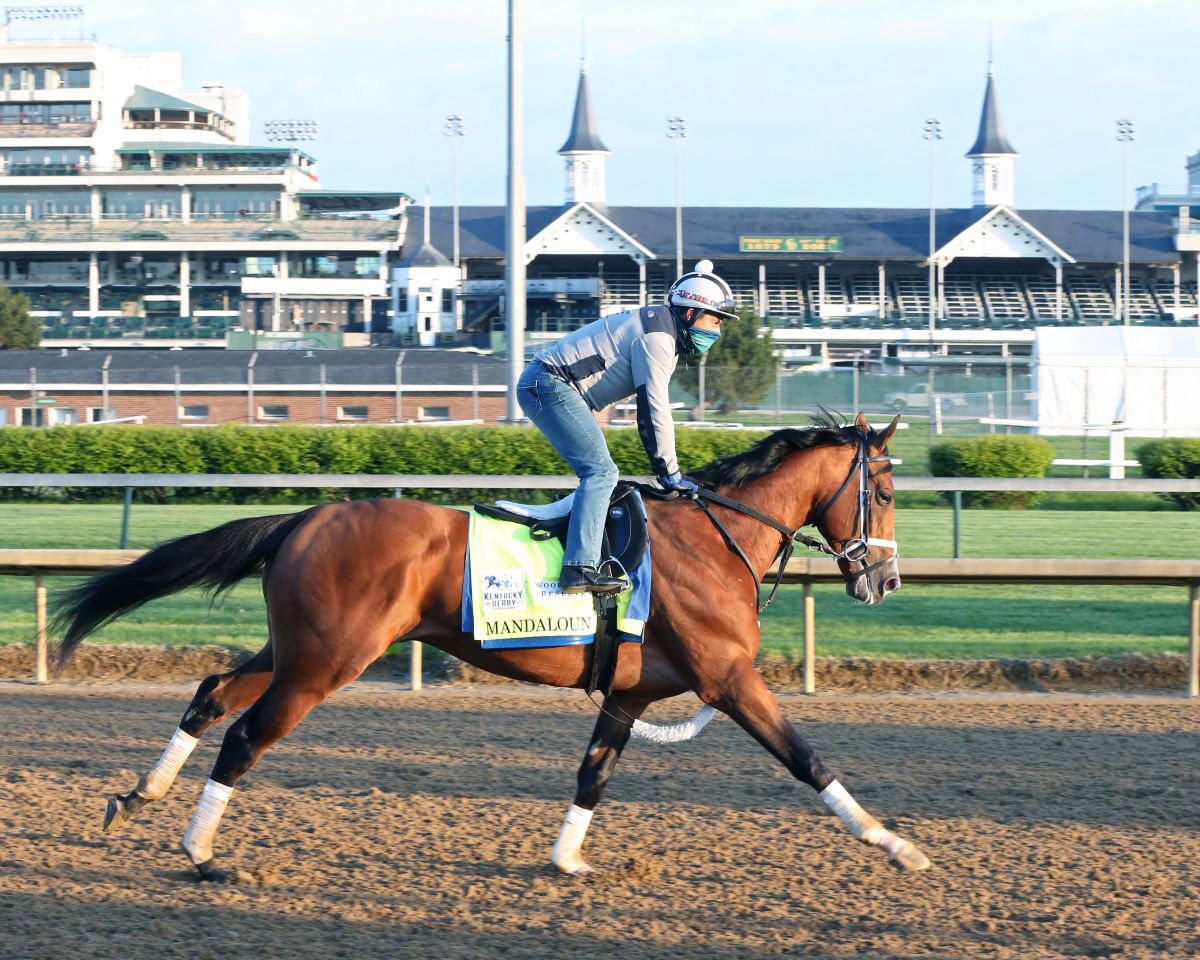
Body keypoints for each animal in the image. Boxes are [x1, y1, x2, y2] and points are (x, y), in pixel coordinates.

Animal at [54, 408, 936, 883]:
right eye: (887, 490)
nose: (886, 581)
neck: (718, 539)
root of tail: (306, 516)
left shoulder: (629, 692)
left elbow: (593, 774)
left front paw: (569, 861)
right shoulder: (728, 678)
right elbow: (806, 758)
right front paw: (895, 844)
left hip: (296, 649)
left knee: (211, 693)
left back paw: (139, 796)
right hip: (325, 663)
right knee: (244, 735)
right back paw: (202, 852)